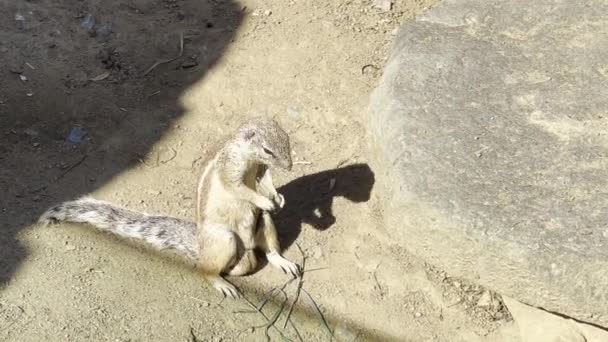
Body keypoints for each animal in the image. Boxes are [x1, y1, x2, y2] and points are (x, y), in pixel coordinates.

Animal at [39, 118, 300, 300]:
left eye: (287, 139)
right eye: (267, 150)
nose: (289, 166)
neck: (248, 158)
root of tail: (200, 246)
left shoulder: (261, 170)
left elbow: (265, 182)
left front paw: (277, 198)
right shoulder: (230, 168)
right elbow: (238, 188)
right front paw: (265, 200)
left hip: (263, 224)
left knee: (268, 250)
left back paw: (283, 262)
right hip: (224, 240)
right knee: (208, 270)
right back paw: (222, 283)